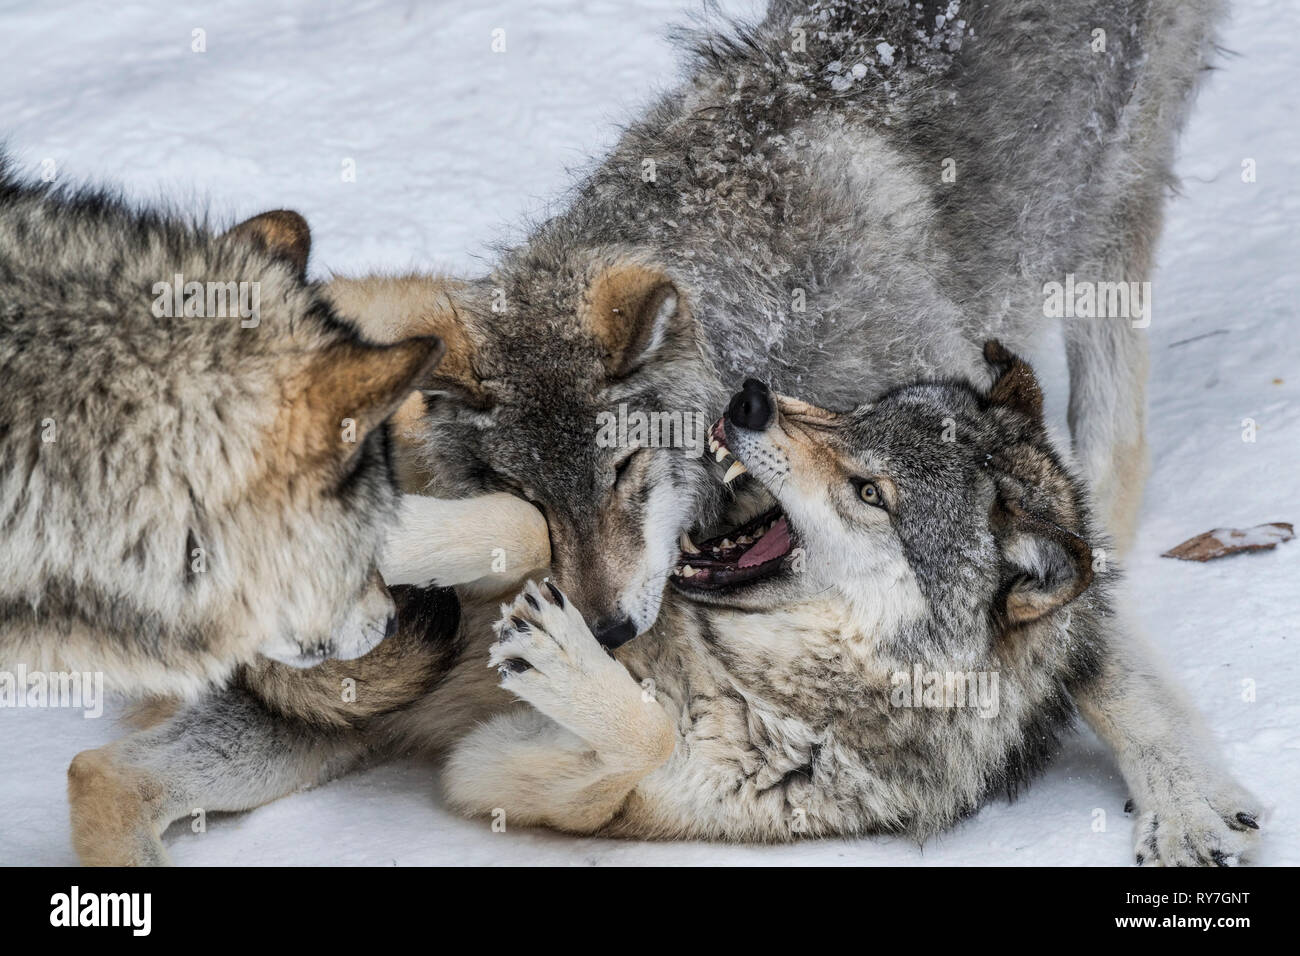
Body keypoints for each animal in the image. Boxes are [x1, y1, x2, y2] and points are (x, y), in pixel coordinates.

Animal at [63, 345, 1258, 868]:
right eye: (851, 419)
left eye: (872, 492)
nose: (751, 397)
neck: (735, 666)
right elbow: (523, 525)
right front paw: (401, 534)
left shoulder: (509, 778)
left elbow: (630, 738)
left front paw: (570, 665)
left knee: (100, 772)